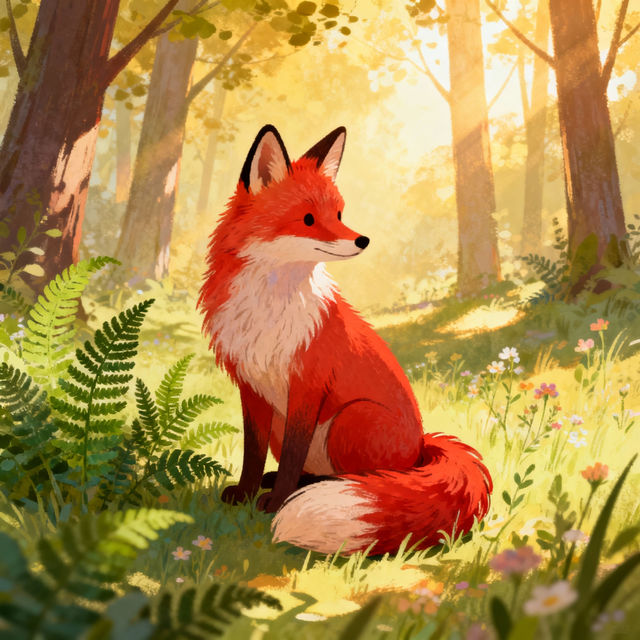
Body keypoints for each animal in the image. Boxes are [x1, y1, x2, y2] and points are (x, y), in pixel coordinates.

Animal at [198, 124, 492, 555]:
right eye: (307, 219)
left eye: (338, 214)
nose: (363, 240)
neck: (270, 306)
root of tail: (423, 446)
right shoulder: (251, 387)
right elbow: (252, 453)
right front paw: (247, 492)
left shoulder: (308, 385)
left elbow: (292, 456)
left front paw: (276, 502)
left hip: (349, 420)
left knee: (370, 479)